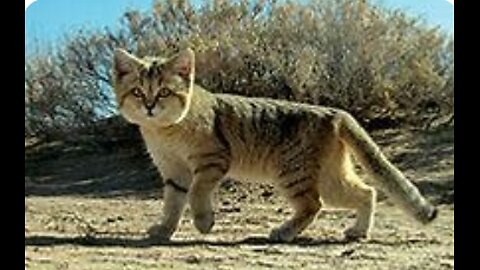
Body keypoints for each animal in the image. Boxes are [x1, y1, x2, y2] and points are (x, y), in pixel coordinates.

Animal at [110, 47, 436, 242]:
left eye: (164, 92)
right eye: (138, 92)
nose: (150, 106)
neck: (164, 131)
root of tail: (336, 112)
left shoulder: (211, 160)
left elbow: (196, 193)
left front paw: (203, 222)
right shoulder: (174, 172)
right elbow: (172, 203)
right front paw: (164, 230)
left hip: (293, 174)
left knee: (313, 204)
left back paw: (283, 232)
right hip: (330, 179)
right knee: (367, 192)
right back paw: (358, 231)